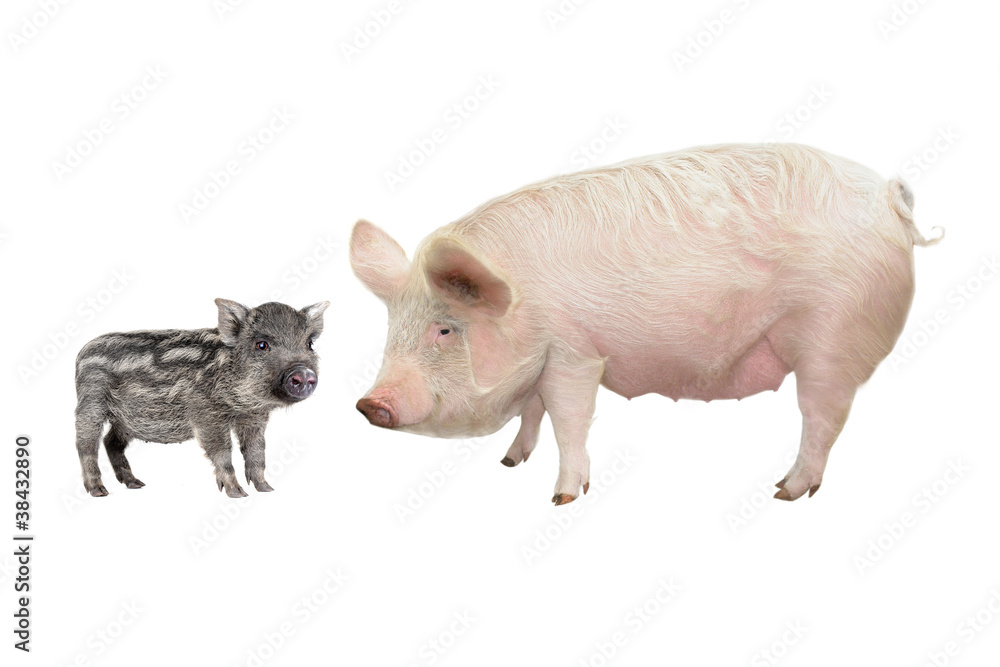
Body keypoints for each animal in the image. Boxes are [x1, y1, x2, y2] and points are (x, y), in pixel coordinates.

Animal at [74, 299, 328, 497]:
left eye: (309, 343)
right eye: (262, 345)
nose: (303, 373)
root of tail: (82, 353)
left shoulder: (254, 418)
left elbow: (257, 452)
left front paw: (267, 489)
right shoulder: (206, 414)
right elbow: (223, 451)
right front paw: (237, 493)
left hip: (125, 421)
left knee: (110, 441)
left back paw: (136, 484)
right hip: (91, 402)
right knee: (86, 444)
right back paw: (99, 491)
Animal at [351, 143, 942, 505]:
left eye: (445, 329)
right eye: (392, 329)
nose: (369, 404)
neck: (521, 307)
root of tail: (890, 196)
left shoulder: (575, 353)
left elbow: (568, 420)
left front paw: (563, 497)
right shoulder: (543, 361)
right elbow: (533, 414)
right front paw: (508, 463)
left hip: (830, 341)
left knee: (822, 419)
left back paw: (784, 490)